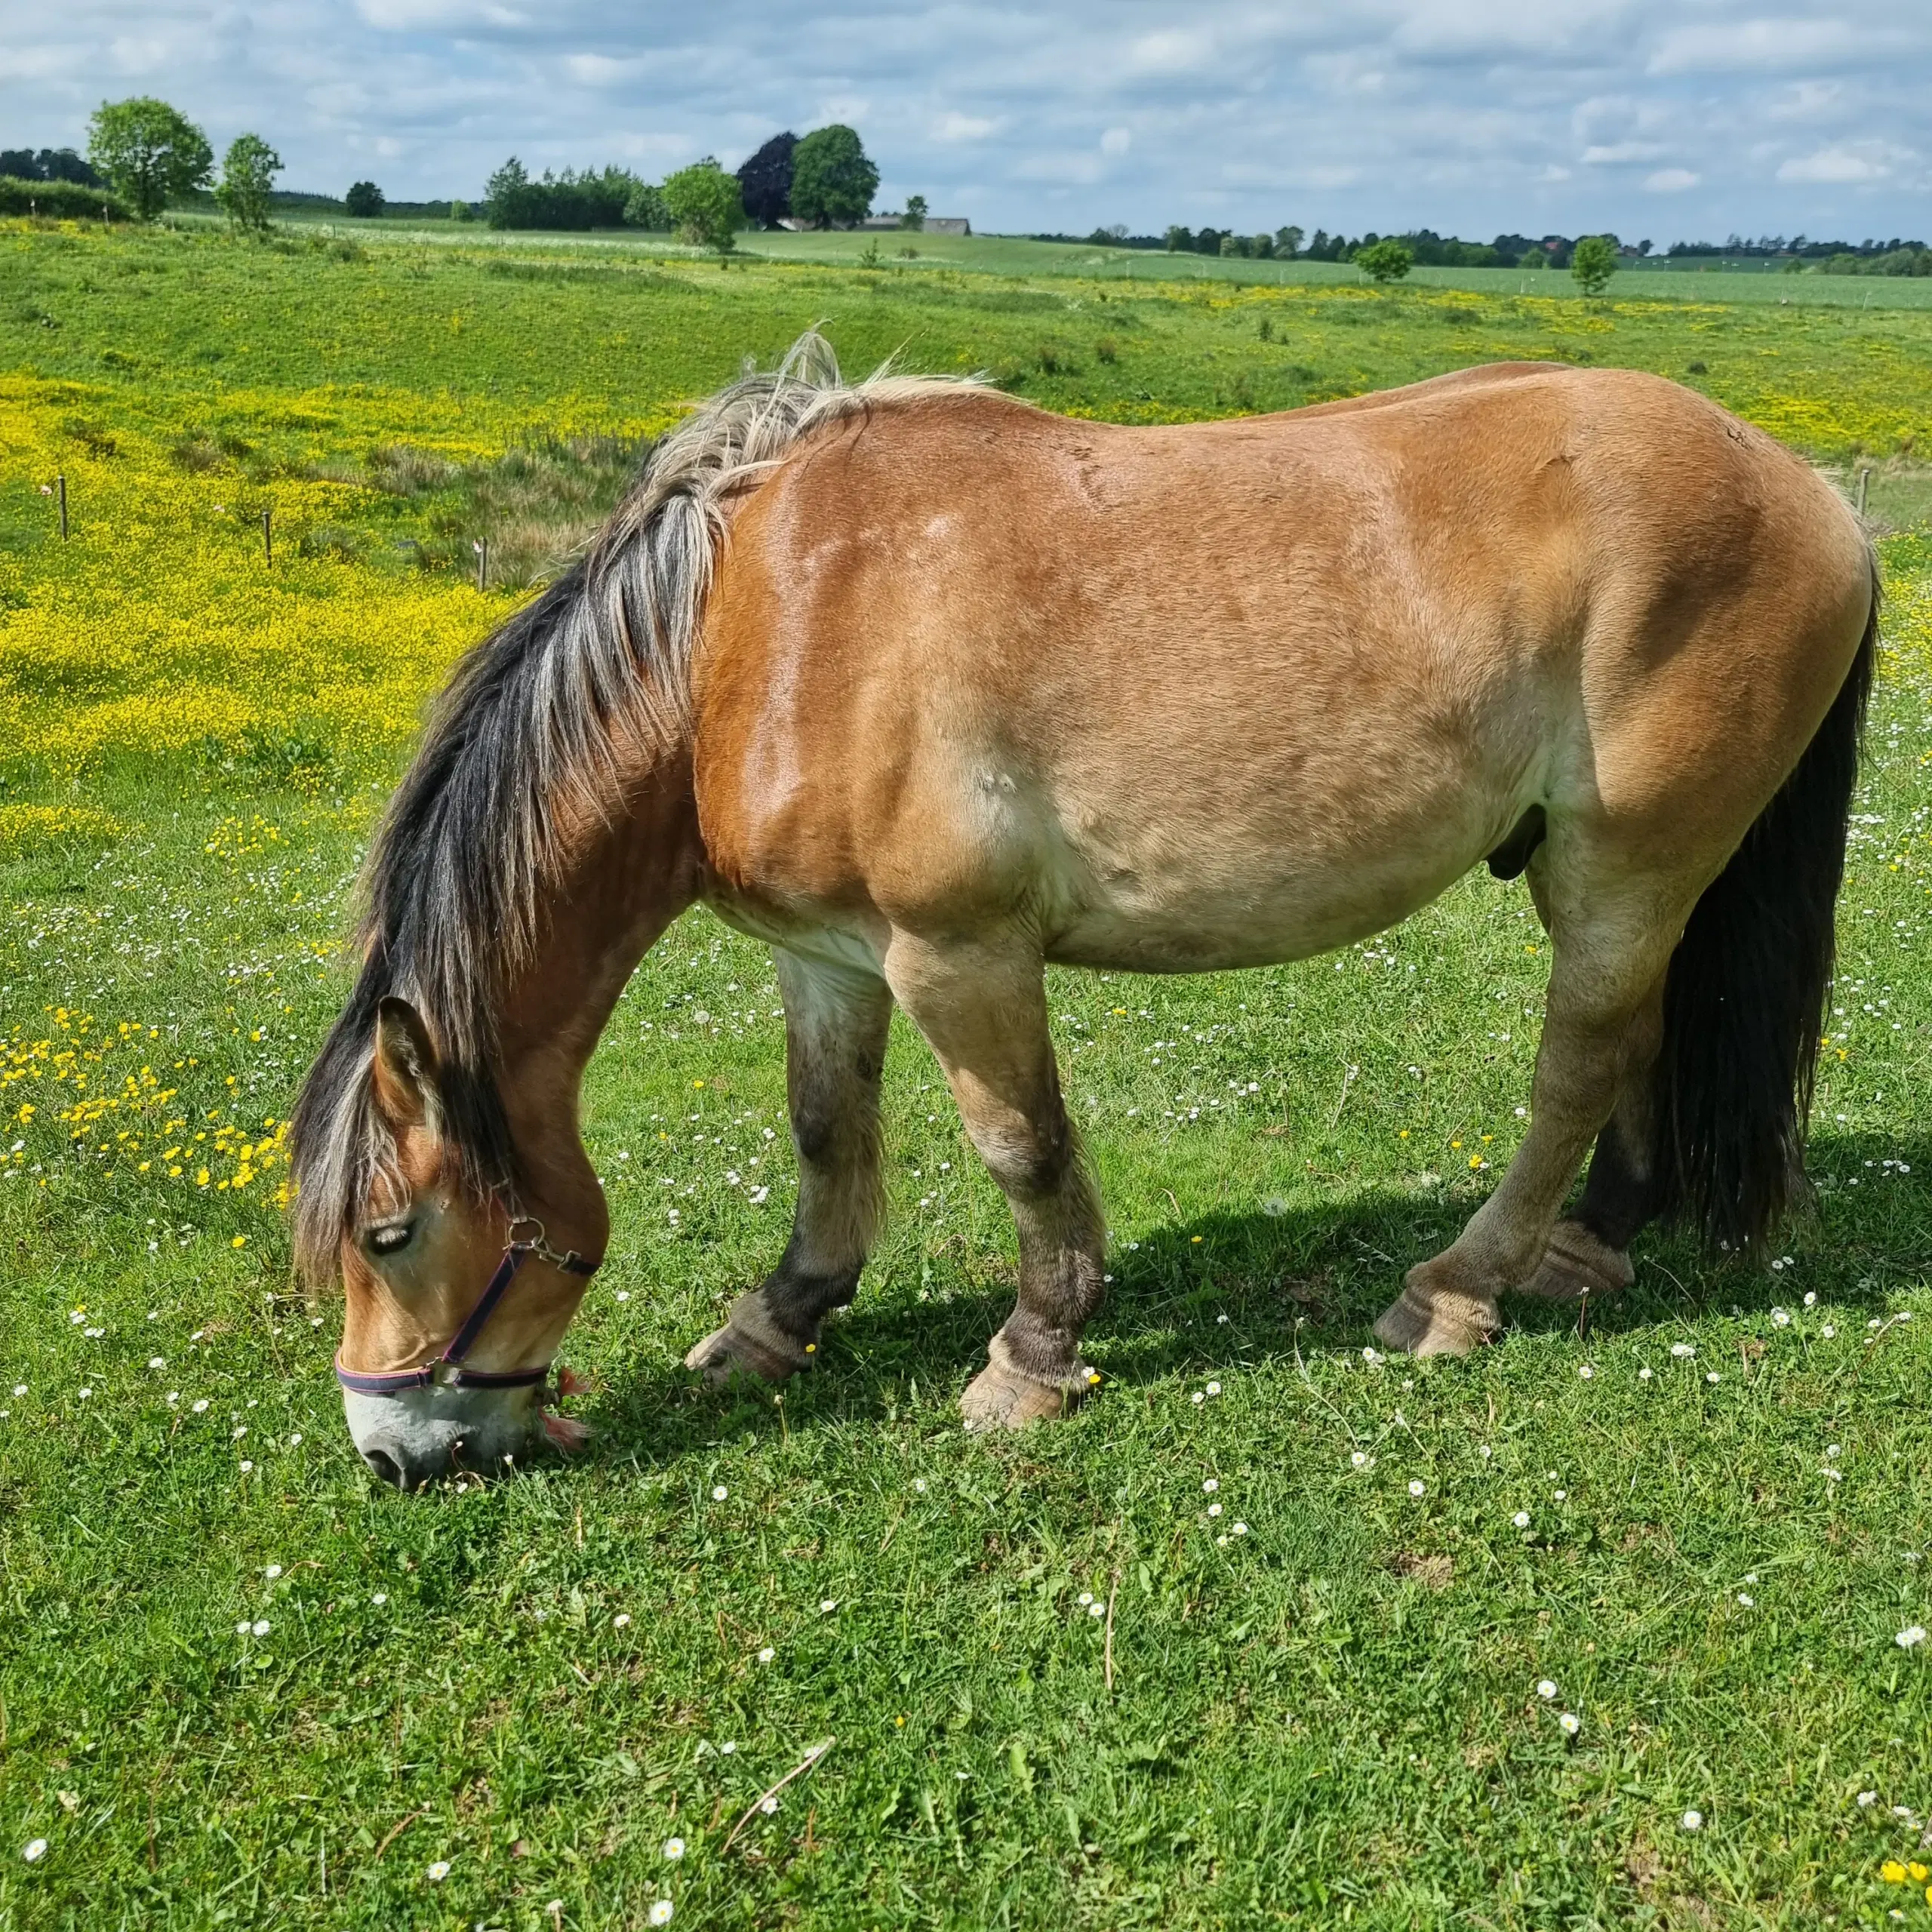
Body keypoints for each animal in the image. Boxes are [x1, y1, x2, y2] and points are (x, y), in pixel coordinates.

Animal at [285, 332, 1870, 1484]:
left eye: (389, 1234)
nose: (395, 1456)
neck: (755, 634)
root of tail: (1813, 494)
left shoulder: (957, 955)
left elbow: (1024, 1150)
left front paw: (1034, 1354)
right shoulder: (829, 960)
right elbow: (826, 1129)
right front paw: (782, 1315)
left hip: (1625, 864)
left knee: (1580, 1061)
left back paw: (1460, 1289)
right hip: (1627, 877)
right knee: (1646, 1038)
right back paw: (1595, 1242)